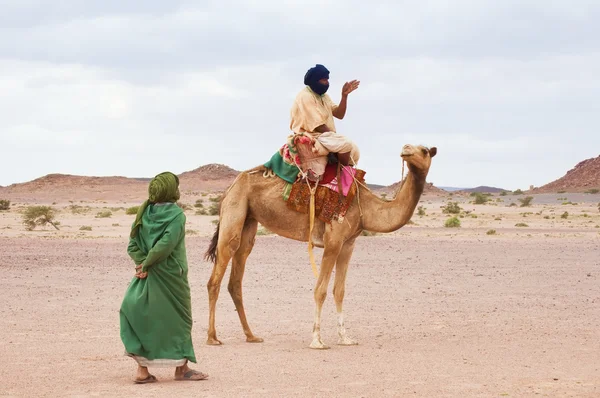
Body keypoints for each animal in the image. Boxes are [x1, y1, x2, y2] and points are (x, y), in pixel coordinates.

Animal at [205, 145, 436, 350]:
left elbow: (339, 290)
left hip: (249, 221)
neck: (365, 207)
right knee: (215, 278)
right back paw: (212, 338)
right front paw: (317, 340)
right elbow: (320, 290)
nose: (406, 149)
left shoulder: (348, 244)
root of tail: (229, 189)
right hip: (234, 212)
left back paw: (251, 336)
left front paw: (345, 338)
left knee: (236, 277)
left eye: (424, 150)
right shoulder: (333, 241)